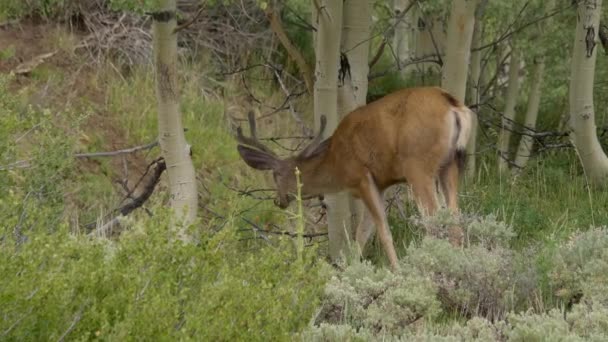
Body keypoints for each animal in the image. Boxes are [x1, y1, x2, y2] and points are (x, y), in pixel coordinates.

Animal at [235, 86, 472, 270]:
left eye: (275, 175)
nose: (279, 200)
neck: (337, 163)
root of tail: (453, 107)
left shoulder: (361, 176)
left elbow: (382, 232)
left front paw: (395, 271)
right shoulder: (382, 184)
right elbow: (363, 234)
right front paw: (350, 269)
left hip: (417, 166)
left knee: (434, 224)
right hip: (450, 165)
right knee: (455, 222)